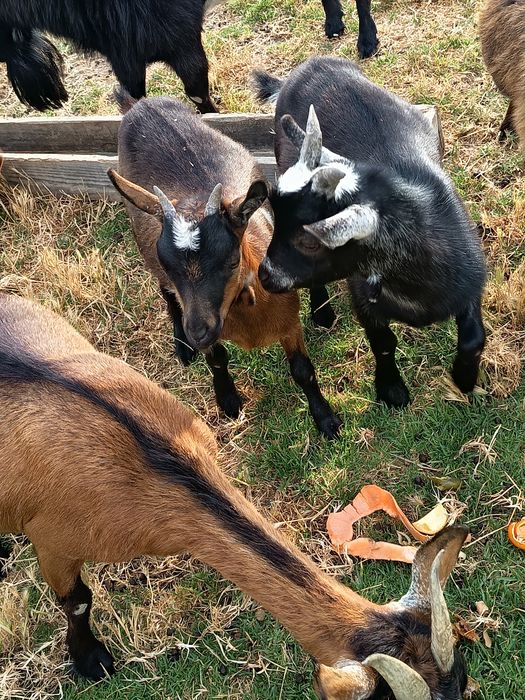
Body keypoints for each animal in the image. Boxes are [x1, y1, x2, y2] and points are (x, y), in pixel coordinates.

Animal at [107, 93, 341, 438]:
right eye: (169, 265)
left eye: (230, 260)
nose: (197, 331)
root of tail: (140, 104)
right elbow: (217, 359)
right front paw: (228, 400)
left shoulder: (289, 323)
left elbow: (302, 370)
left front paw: (326, 420)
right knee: (165, 295)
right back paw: (182, 346)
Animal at [255, 57, 487, 408]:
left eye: (308, 241)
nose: (264, 275)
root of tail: (311, 64)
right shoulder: (363, 297)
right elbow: (384, 343)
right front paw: (392, 390)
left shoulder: (470, 280)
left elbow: (474, 338)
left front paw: (464, 379)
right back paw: (322, 313)